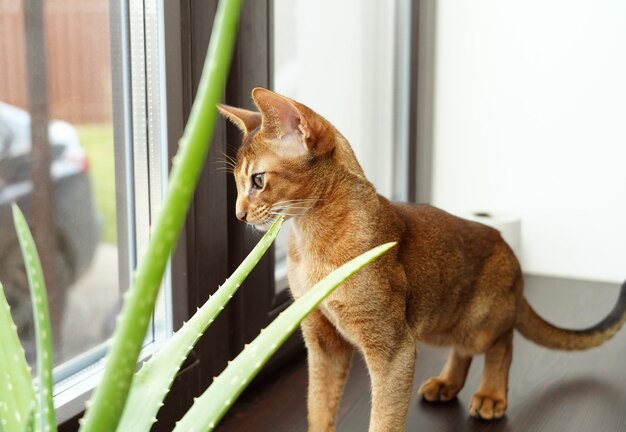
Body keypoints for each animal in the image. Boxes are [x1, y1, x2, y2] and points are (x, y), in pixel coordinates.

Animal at [218, 88, 624, 432]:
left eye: (258, 180)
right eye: (237, 184)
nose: (238, 214)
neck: (311, 242)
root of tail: (506, 246)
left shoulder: (393, 347)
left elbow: (384, 418)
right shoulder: (322, 341)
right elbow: (318, 407)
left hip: (479, 320)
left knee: (502, 345)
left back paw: (491, 395)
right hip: (441, 320)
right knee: (464, 351)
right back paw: (447, 383)